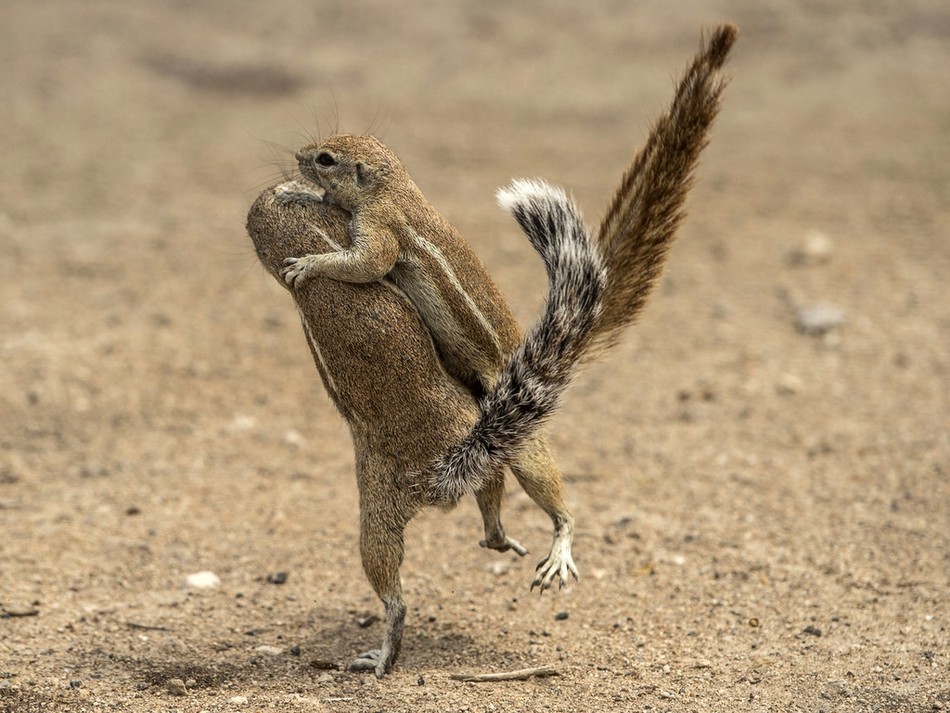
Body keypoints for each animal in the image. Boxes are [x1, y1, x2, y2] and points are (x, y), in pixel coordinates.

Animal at [245, 23, 736, 680]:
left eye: (326, 158)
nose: (300, 156)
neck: (393, 183)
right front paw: (303, 200)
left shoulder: (380, 230)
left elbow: (364, 262)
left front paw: (310, 258)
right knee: (488, 502)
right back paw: (497, 536)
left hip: (519, 447)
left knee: (546, 499)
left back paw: (556, 545)